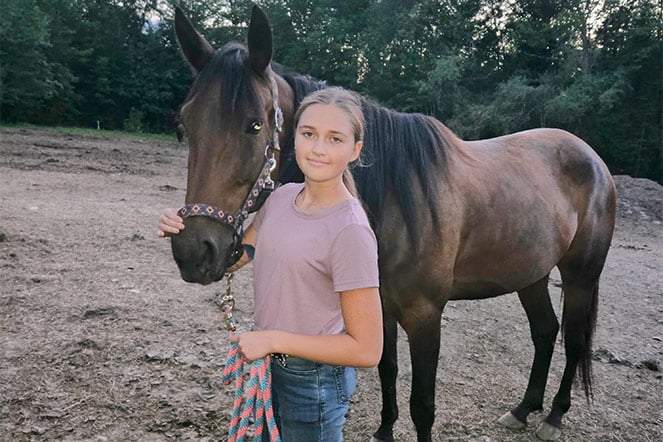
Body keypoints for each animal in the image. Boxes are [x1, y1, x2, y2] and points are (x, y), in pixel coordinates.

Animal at [169, 6, 616, 441]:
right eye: (185, 125)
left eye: (255, 125)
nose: (194, 252)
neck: (394, 204)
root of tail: (593, 159)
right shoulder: (379, 307)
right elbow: (387, 368)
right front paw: (385, 429)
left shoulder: (425, 316)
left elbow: (423, 405)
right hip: (531, 274)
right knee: (545, 332)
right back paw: (524, 409)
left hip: (580, 276)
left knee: (574, 340)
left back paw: (554, 415)